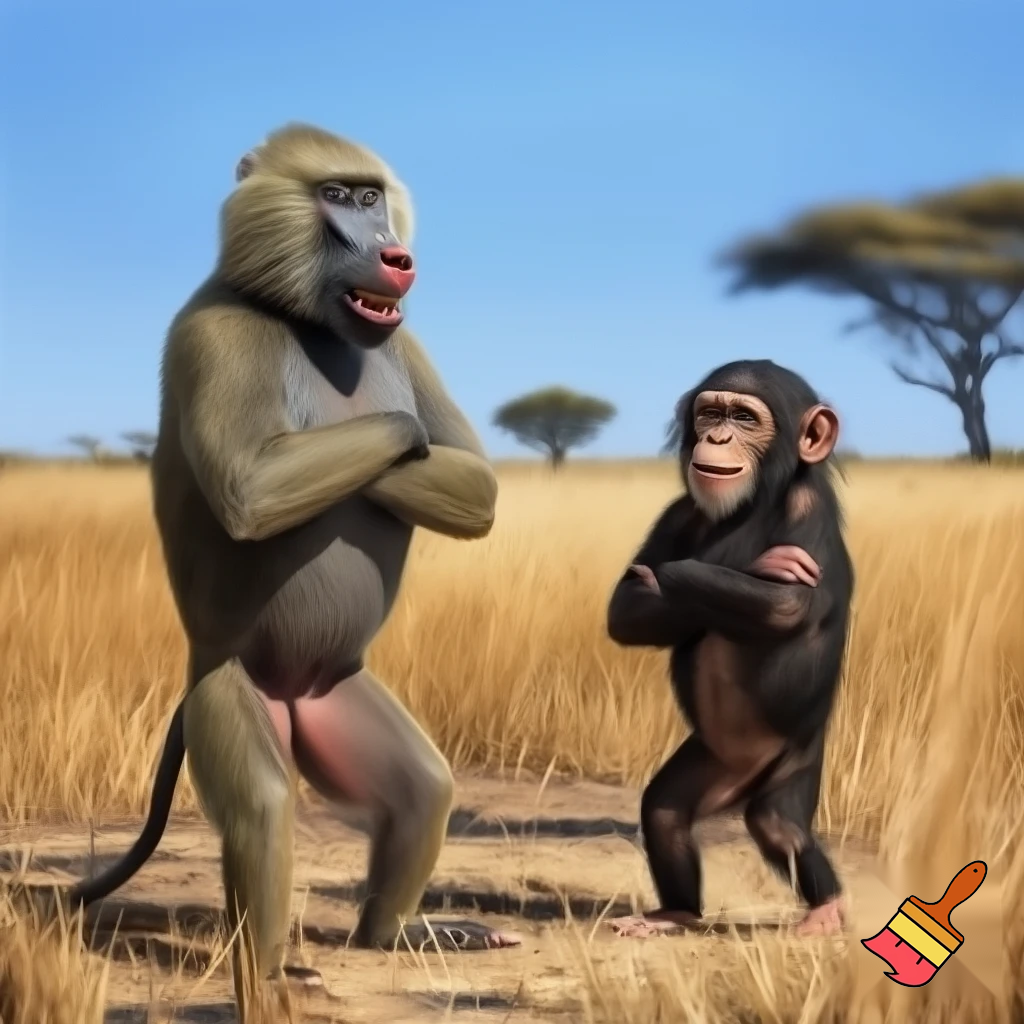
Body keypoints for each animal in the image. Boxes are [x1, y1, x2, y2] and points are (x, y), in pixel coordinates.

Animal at [65, 123, 521, 1010]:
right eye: (336, 197)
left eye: (373, 195)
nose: (396, 256)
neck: (304, 319)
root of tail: (291, 693)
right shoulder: (212, 332)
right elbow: (254, 487)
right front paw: (404, 437)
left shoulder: (406, 339)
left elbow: (475, 484)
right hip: (226, 689)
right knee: (264, 810)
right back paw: (271, 975)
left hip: (338, 697)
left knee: (424, 791)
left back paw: (395, 935)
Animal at [604, 359, 854, 939]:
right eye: (711, 413)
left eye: (743, 418)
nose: (717, 436)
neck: (752, 505)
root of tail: (740, 784)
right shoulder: (677, 511)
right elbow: (627, 603)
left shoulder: (808, 508)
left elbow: (785, 605)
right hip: (711, 763)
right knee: (665, 810)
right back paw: (672, 913)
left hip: (796, 758)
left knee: (779, 825)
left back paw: (826, 912)